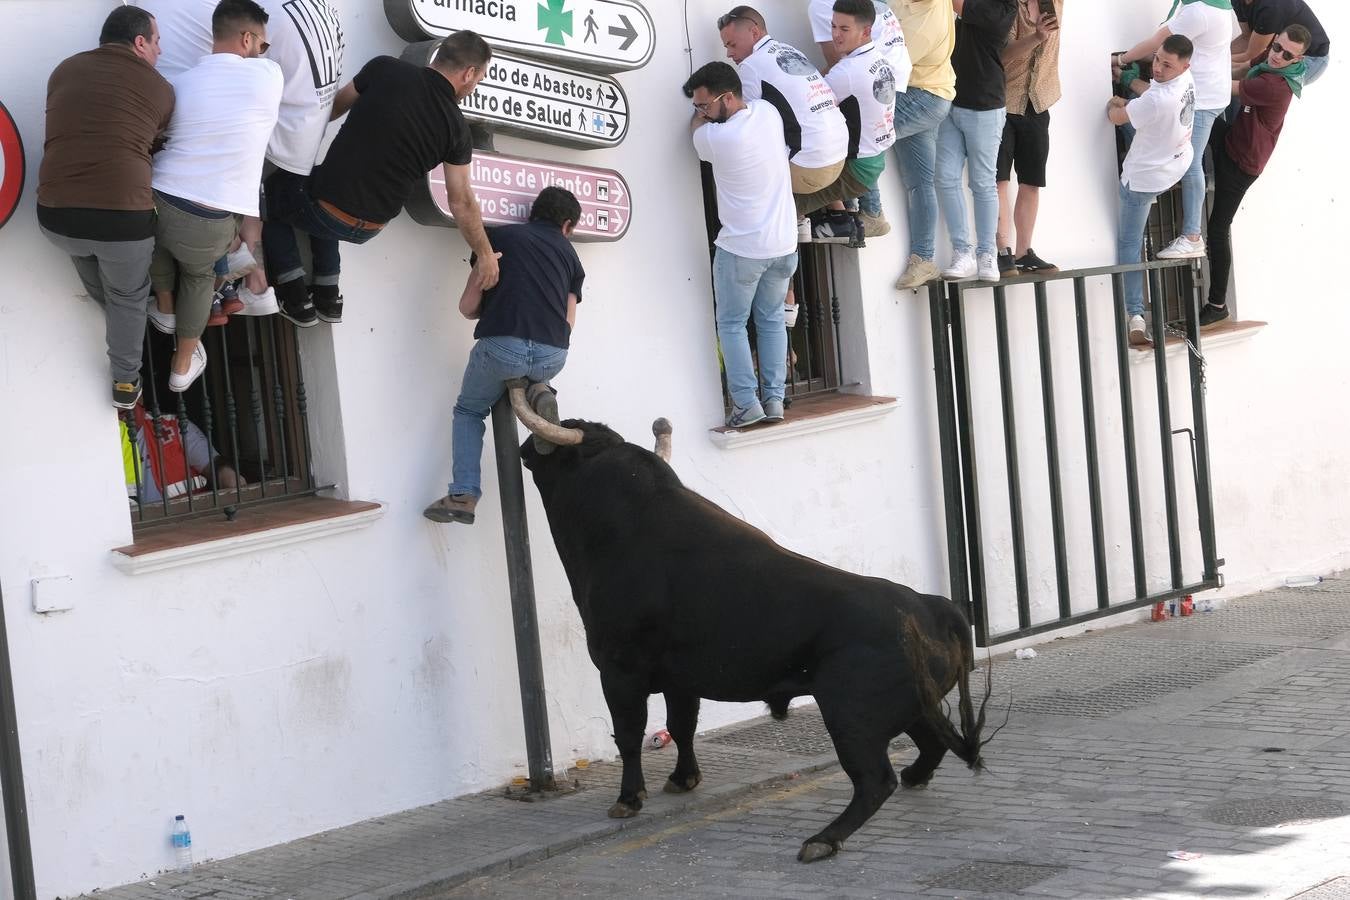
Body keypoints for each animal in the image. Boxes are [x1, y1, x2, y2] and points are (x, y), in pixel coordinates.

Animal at [518, 423, 993, 863]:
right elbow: (681, 725)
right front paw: (683, 779)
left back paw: (823, 839)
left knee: (876, 781)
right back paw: (912, 778)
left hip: (851, 717)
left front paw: (628, 799)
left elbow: (629, 734)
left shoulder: (619, 670)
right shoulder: (680, 679)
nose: (525, 449)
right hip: (910, 706)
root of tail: (928, 606)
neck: (623, 522)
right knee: (932, 742)